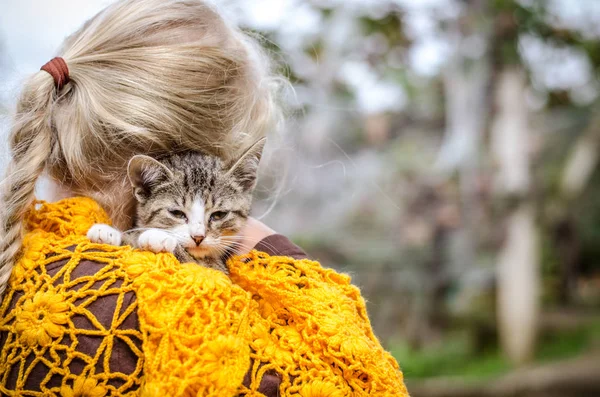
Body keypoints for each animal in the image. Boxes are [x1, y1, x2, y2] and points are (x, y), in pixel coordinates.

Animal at [85, 137, 264, 272]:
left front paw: (157, 237)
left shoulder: (217, 271)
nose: (198, 237)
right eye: (177, 213)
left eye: (219, 214)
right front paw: (108, 233)